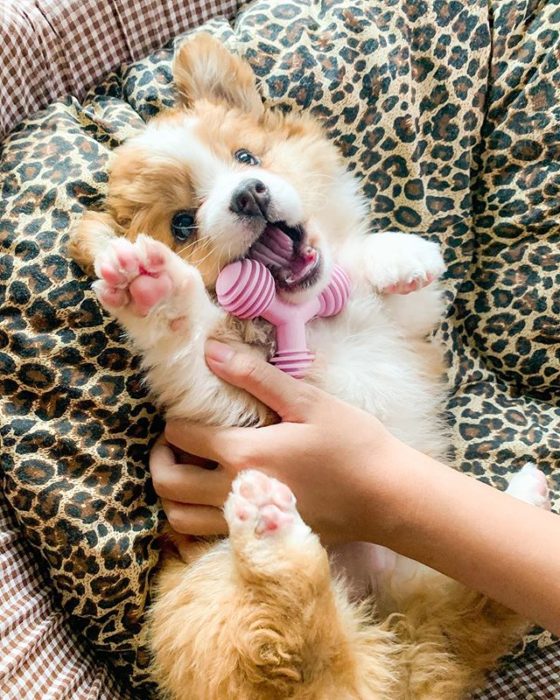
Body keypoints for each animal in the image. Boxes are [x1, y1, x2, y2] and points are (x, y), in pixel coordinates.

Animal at [69, 32, 548, 700]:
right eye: (183, 224)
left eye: (246, 155)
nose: (249, 192)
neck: (311, 319)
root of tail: (394, 642)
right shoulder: (230, 407)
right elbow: (189, 341)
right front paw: (151, 284)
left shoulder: (407, 330)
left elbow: (385, 277)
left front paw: (400, 256)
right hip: (203, 592)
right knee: (295, 652)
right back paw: (272, 533)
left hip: (439, 565)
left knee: (476, 608)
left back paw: (526, 498)